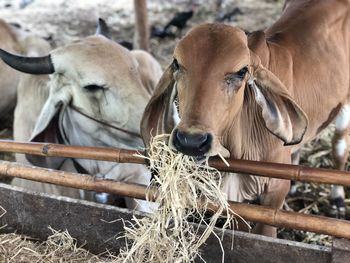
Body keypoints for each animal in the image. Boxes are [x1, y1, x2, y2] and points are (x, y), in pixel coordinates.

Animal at [142, 0, 350, 237]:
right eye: (177, 63)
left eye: (242, 71)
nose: (191, 141)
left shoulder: (274, 192)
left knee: (339, 148)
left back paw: (337, 201)